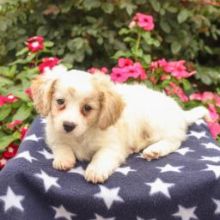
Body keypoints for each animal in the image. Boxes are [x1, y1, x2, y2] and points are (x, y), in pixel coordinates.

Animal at [31, 65, 210, 184]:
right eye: (60, 101)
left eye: (87, 108)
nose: (68, 125)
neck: (82, 135)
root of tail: (180, 112)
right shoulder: (54, 136)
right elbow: (62, 146)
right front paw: (64, 159)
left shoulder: (112, 147)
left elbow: (101, 156)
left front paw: (95, 170)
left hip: (155, 123)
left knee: (175, 140)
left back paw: (155, 150)